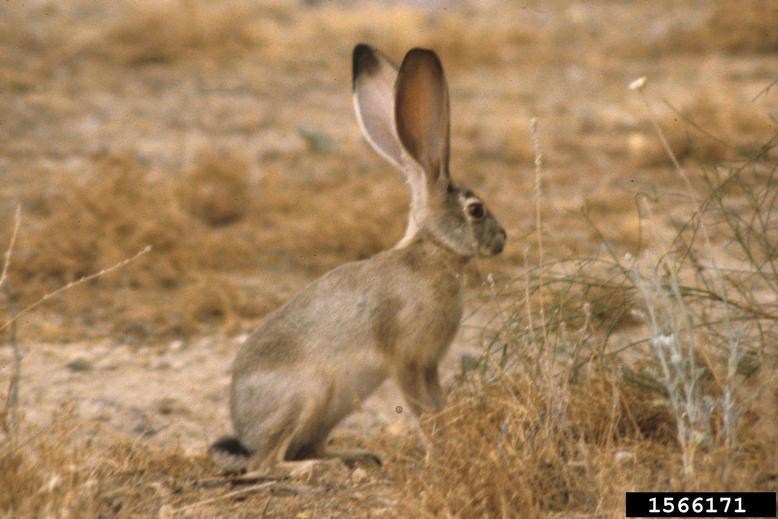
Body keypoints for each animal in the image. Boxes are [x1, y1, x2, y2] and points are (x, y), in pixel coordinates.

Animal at [209, 43, 506, 478]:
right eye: (477, 210)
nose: (503, 239)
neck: (431, 252)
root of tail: (244, 429)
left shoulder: (430, 364)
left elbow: (438, 406)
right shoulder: (407, 361)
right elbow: (423, 411)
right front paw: (440, 455)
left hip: (332, 408)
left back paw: (357, 457)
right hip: (305, 397)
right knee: (265, 463)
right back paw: (313, 470)